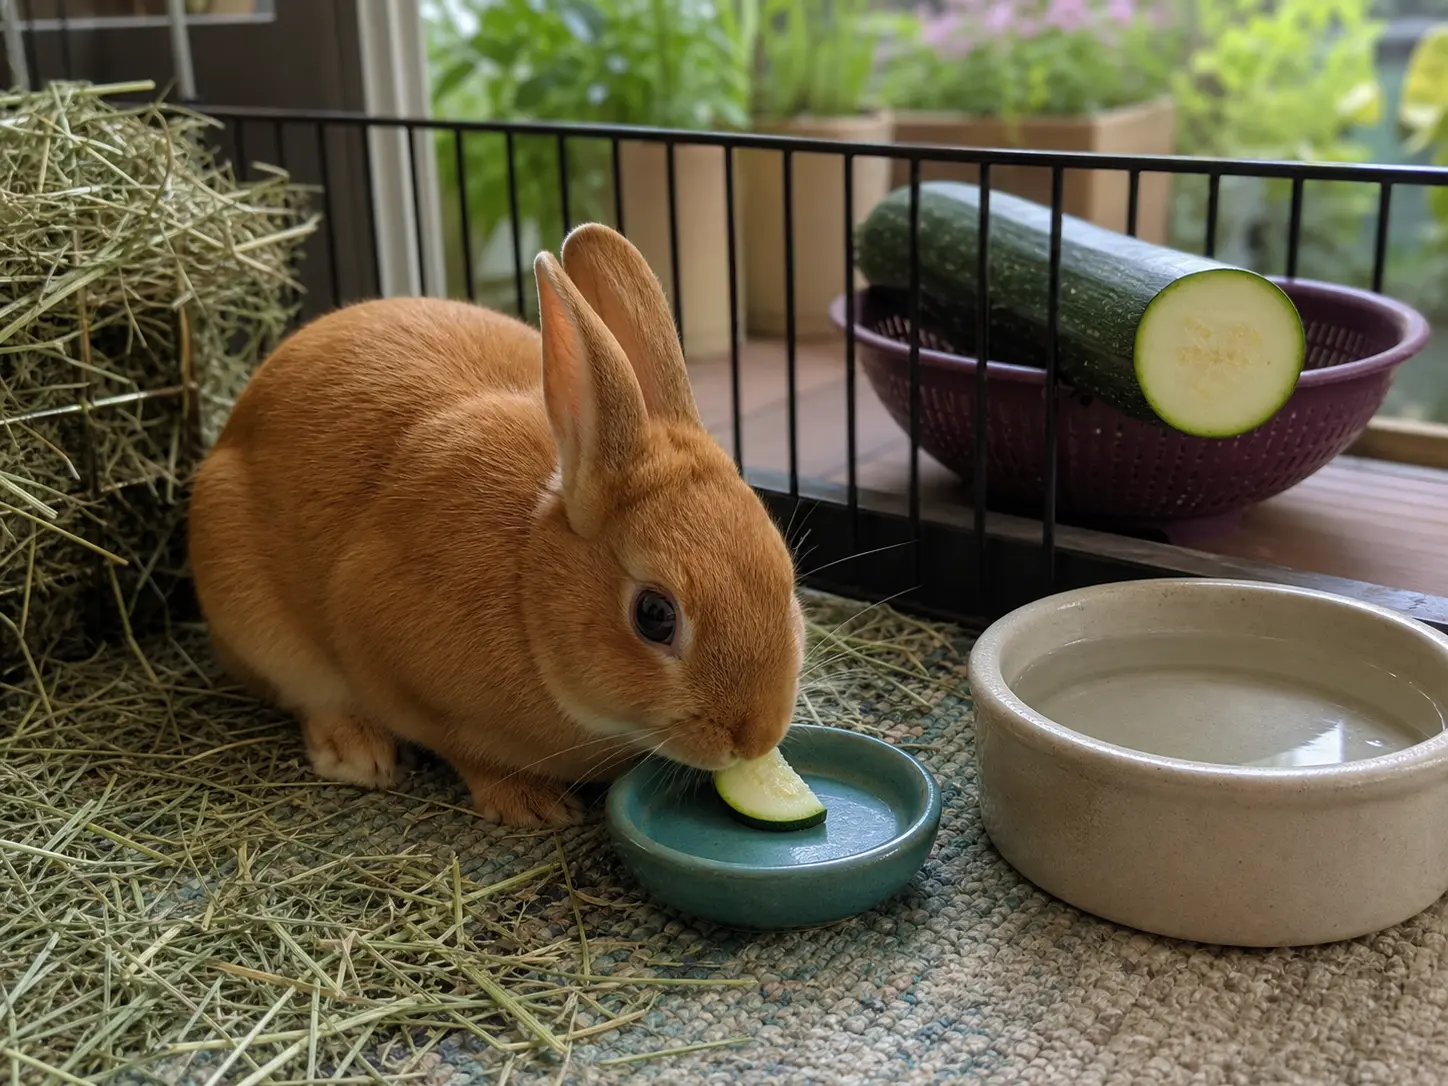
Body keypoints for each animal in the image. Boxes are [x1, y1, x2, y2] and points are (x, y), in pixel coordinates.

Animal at [187, 222, 806, 827]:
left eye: (786, 578)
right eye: (654, 616)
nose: (755, 736)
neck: (528, 590)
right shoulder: (388, 658)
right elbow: (467, 750)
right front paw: (530, 805)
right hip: (251, 610)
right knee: (307, 694)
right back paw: (358, 753)